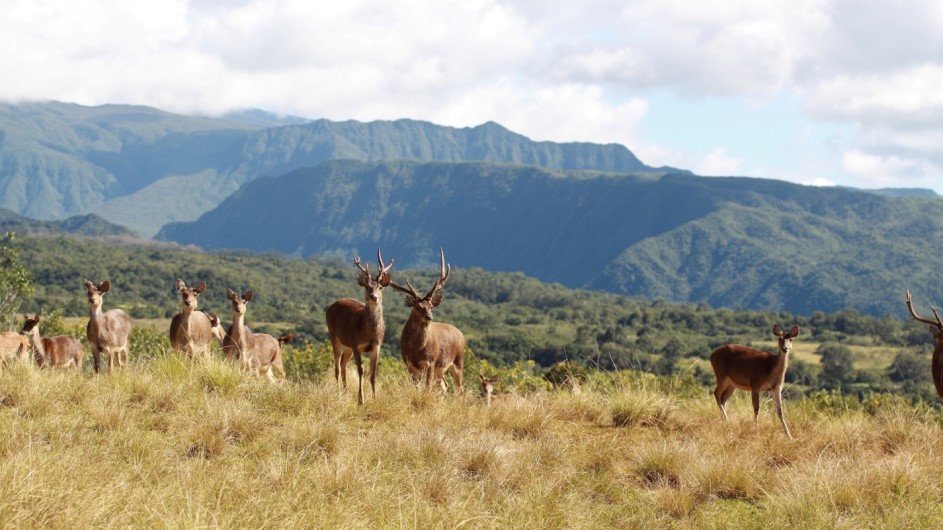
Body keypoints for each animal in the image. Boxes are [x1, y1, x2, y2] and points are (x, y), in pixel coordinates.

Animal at [328, 248, 394, 404]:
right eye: (368, 287)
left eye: (380, 287)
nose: (374, 297)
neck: (369, 333)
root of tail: (329, 307)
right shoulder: (356, 343)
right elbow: (361, 370)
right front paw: (361, 400)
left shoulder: (376, 345)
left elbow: (373, 373)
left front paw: (375, 399)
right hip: (334, 336)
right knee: (337, 367)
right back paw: (339, 394)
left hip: (347, 346)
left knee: (343, 364)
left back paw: (345, 392)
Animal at [390, 248, 464, 392]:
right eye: (417, 306)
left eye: (431, 306)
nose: (429, 317)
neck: (415, 350)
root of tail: (461, 334)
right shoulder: (409, 364)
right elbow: (416, 387)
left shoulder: (431, 362)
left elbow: (427, 387)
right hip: (440, 370)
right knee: (445, 385)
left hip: (458, 361)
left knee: (460, 387)